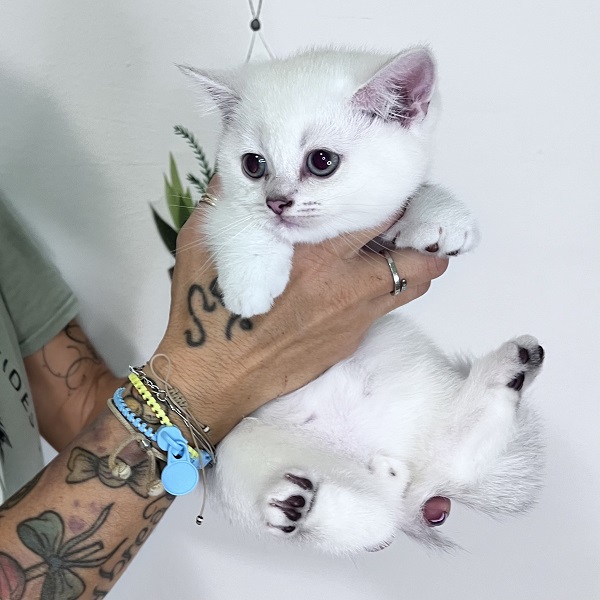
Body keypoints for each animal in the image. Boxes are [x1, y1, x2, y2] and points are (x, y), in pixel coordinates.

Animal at [180, 46, 544, 553]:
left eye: (322, 161)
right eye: (252, 165)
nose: (277, 201)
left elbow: (415, 192)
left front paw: (443, 217)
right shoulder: (210, 206)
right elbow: (235, 217)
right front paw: (251, 281)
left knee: (442, 463)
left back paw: (510, 372)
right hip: (233, 452)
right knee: (377, 517)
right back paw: (303, 503)